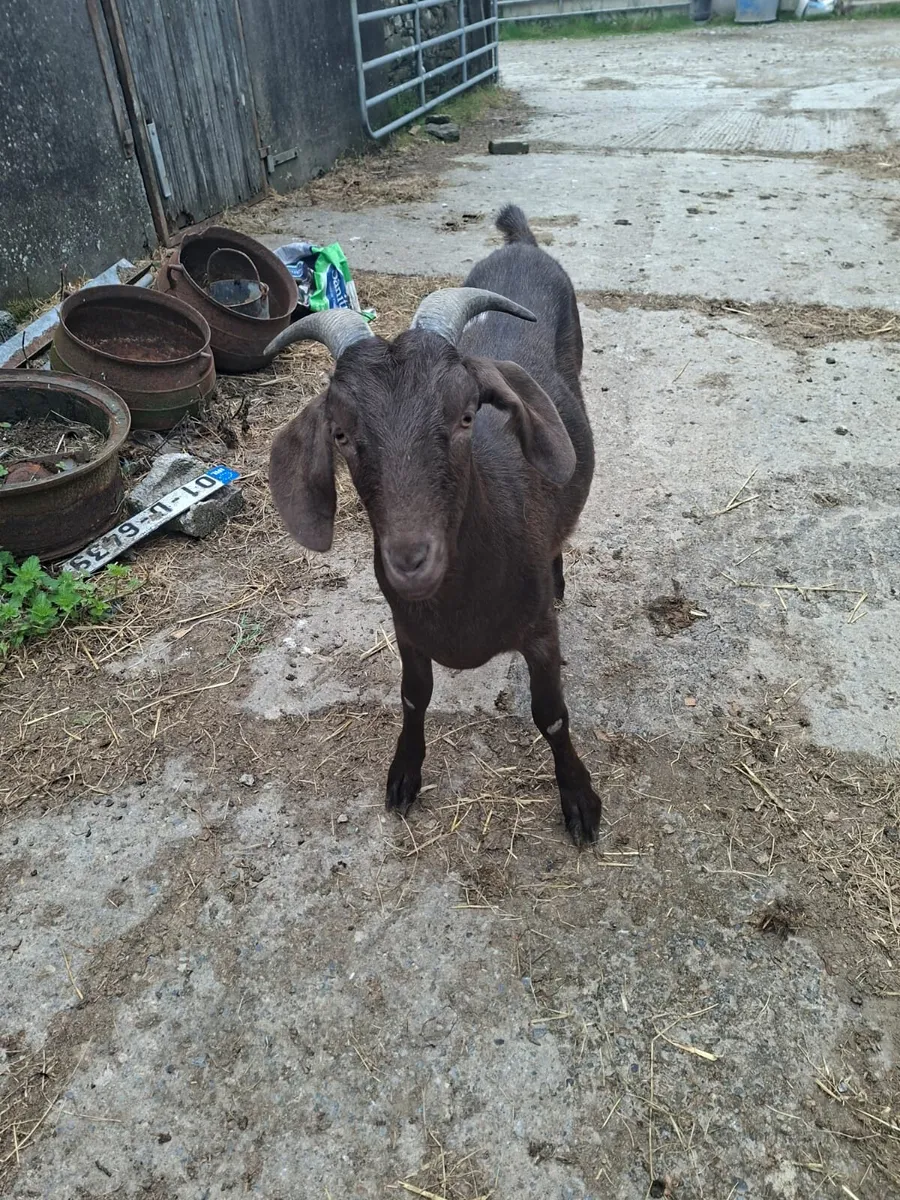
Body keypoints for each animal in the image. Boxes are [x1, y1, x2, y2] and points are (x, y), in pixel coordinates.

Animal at [267, 205, 601, 843]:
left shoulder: (540, 634)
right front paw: (403, 774)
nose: (410, 561)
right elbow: (413, 698)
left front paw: (580, 800)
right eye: (341, 434)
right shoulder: (408, 634)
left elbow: (550, 715)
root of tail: (521, 243)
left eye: (467, 415)